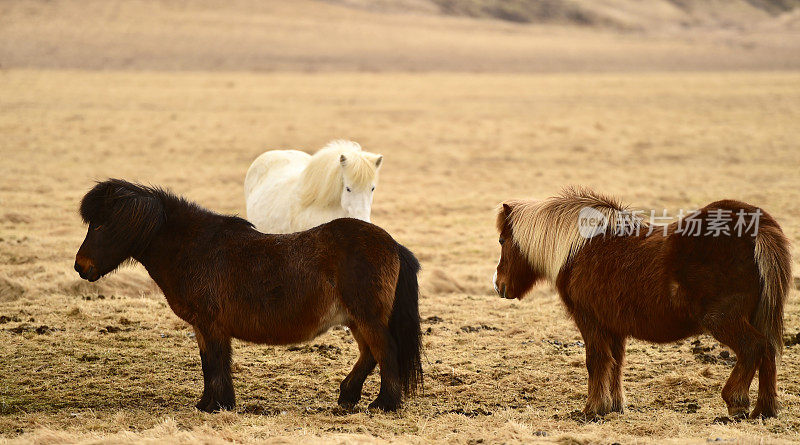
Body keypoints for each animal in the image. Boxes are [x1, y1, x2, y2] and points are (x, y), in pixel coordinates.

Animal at [76, 179, 424, 412]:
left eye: (102, 225)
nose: (81, 266)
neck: (194, 248)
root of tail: (392, 244)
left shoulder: (211, 325)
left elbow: (217, 362)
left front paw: (217, 405)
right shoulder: (203, 327)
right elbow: (209, 363)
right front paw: (209, 402)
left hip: (367, 317)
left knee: (385, 351)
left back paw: (384, 404)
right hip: (356, 319)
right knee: (369, 354)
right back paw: (348, 397)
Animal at [490, 186, 792, 416]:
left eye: (502, 240)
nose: (498, 285)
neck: (579, 249)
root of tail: (757, 228)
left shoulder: (590, 321)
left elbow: (596, 360)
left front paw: (592, 409)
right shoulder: (613, 326)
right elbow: (615, 363)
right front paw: (613, 406)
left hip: (723, 320)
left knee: (754, 348)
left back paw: (736, 402)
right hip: (757, 317)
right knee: (768, 351)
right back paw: (765, 410)